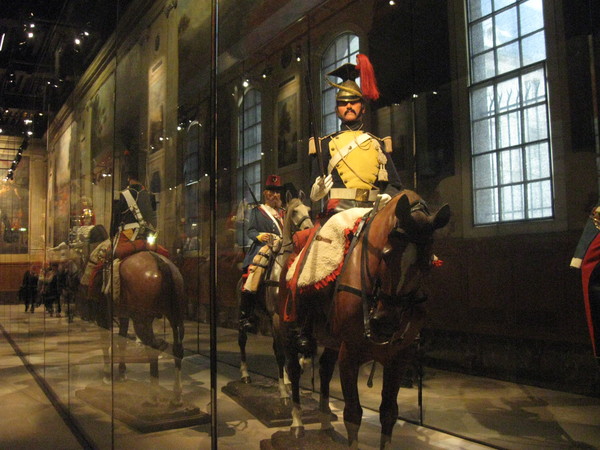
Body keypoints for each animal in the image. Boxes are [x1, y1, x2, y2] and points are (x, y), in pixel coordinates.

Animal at [276, 192, 450, 448]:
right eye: (386, 255)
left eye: (427, 263)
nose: (386, 323)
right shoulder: (350, 352)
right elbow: (353, 414)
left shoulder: (399, 357)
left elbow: (389, 413)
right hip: (288, 328)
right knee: (294, 371)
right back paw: (297, 424)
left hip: (331, 341)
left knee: (325, 370)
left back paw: (325, 425)